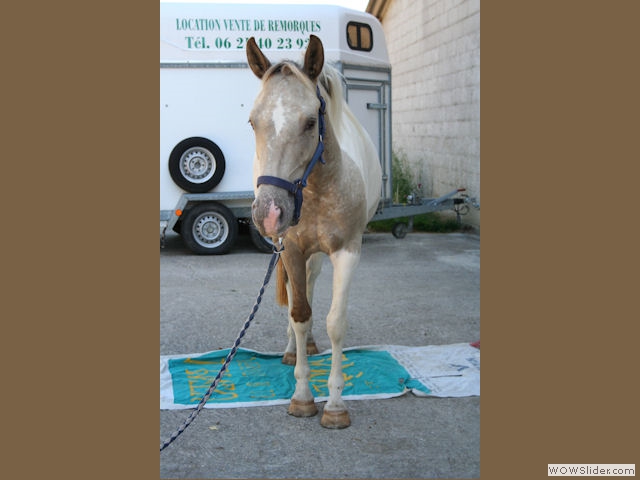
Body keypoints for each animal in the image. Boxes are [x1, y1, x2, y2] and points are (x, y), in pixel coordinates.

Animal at [248, 35, 382, 430]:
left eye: (310, 122)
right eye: (252, 122)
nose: (270, 212)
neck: (320, 188)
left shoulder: (347, 252)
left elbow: (336, 322)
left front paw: (335, 405)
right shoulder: (291, 249)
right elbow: (300, 314)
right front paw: (302, 396)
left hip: (320, 257)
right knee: (299, 294)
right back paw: (294, 349)